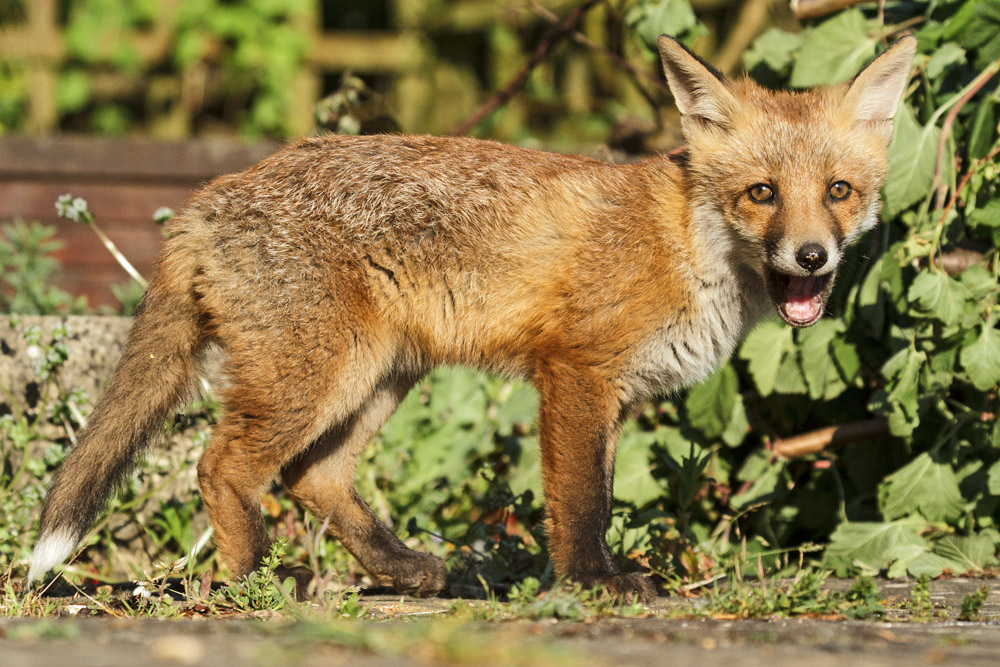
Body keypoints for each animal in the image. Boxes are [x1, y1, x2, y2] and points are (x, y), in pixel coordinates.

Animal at [28, 35, 916, 603]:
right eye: (761, 193)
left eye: (837, 192)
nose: (812, 257)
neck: (686, 242)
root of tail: (209, 195)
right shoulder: (575, 372)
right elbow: (583, 502)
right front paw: (593, 585)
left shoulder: (609, 394)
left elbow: (596, 494)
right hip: (314, 378)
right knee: (224, 466)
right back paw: (252, 579)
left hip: (379, 376)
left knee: (313, 475)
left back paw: (402, 571)